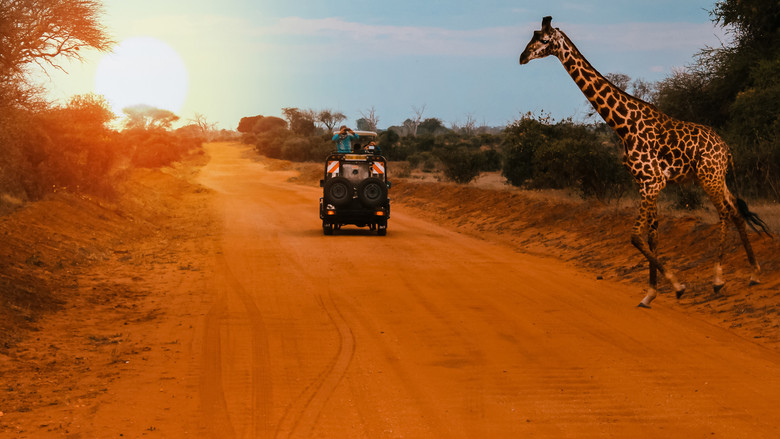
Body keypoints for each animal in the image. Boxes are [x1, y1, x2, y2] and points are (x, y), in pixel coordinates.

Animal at [519, 16, 765, 308]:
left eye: (544, 40)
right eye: (533, 36)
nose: (522, 57)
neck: (623, 126)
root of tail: (726, 149)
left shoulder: (653, 182)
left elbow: (636, 236)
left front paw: (677, 286)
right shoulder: (644, 183)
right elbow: (652, 236)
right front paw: (651, 293)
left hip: (709, 177)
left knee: (725, 213)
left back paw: (718, 279)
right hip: (716, 177)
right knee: (737, 211)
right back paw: (754, 274)